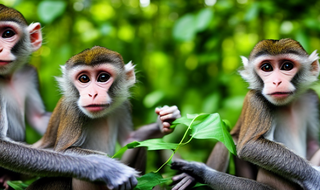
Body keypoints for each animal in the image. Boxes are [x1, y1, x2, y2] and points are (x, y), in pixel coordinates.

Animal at [26, 46, 181, 190]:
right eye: (84, 78)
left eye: (103, 78)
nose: (92, 94)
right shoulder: (73, 109)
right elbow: (63, 153)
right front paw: (110, 167)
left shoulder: (123, 104)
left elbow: (130, 139)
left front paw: (164, 121)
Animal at [171, 37, 320, 189]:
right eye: (266, 67)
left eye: (287, 66)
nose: (276, 82)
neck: (287, 104)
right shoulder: (255, 99)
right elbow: (250, 146)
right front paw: (315, 178)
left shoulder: (311, 98)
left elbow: (313, 144)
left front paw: (197, 171)